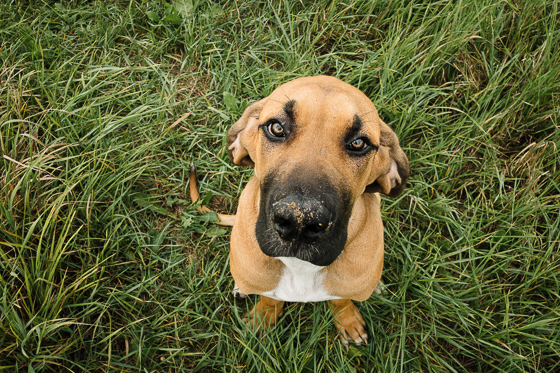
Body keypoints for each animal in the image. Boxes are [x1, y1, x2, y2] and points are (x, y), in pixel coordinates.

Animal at [190, 75, 410, 346]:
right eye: (276, 128)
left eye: (359, 143)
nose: (299, 222)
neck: (300, 266)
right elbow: (269, 298)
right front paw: (263, 317)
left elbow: (341, 300)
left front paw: (348, 321)